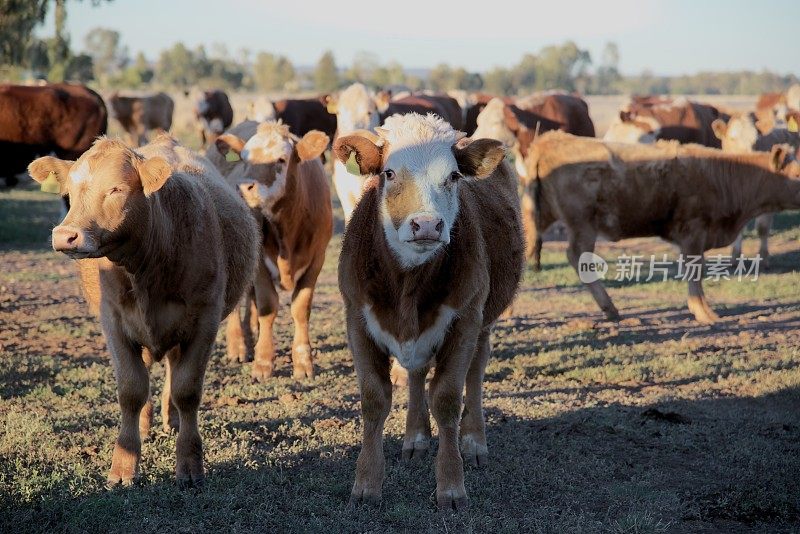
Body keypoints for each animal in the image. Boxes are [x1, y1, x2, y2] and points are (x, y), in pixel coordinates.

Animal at [27, 135, 260, 490]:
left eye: (117, 189)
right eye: (71, 190)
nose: (65, 236)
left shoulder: (205, 321)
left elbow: (186, 390)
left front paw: (189, 464)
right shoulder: (114, 323)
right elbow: (132, 390)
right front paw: (124, 467)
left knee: (174, 374)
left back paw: (171, 419)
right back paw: (146, 424)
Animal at [208, 121, 332, 382]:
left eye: (281, 160)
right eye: (244, 159)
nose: (243, 187)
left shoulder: (317, 258)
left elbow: (301, 307)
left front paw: (303, 363)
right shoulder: (259, 264)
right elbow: (268, 306)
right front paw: (263, 362)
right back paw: (238, 346)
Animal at [332, 113, 524, 510]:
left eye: (453, 176)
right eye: (389, 173)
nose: (427, 225)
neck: (407, 285)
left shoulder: (465, 320)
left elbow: (447, 398)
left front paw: (451, 485)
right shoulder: (356, 320)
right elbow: (374, 399)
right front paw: (366, 482)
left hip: (483, 322)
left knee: (475, 372)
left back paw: (474, 441)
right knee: (417, 372)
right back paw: (416, 438)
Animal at [520, 133, 800, 326]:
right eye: (797, 174)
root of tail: (549, 140)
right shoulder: (693, 232)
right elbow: (695, 273)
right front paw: (704, 312)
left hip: (539, 217)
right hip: (582, 225)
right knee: (577, 257)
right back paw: (609, 307)